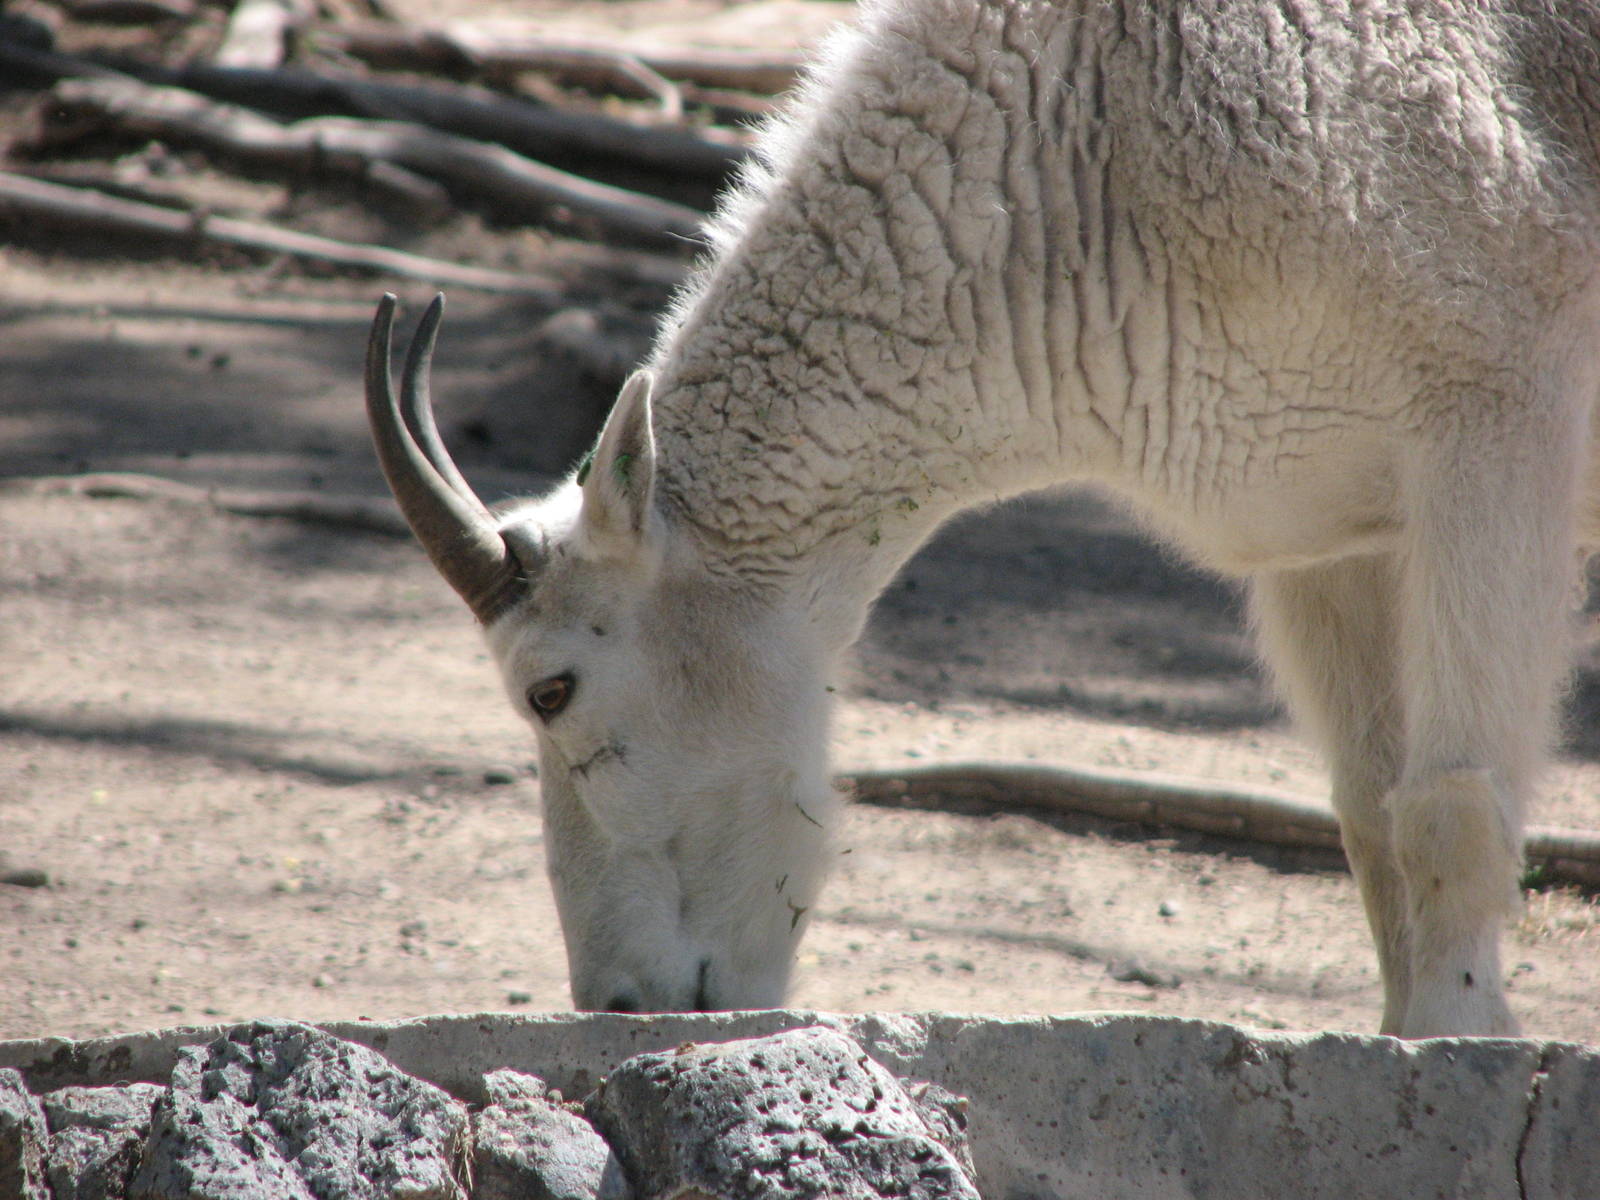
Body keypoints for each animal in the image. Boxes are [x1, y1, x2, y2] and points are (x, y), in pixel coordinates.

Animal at [365, 0, 1600, 1035]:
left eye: (550, 690)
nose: (619, 1002)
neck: (1097, 140)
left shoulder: (1494, 429)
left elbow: (1445, 805)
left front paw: (1455, 1040)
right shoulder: (1324, 531)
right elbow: (1367, 810)